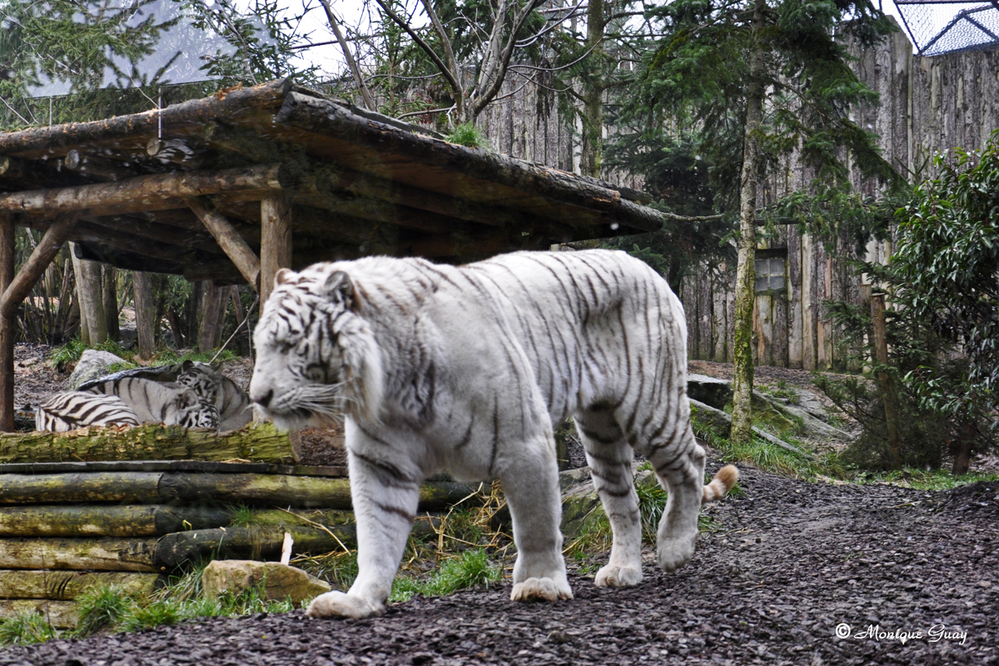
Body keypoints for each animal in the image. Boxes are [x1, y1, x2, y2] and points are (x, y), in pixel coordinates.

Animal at [247, 248, 740, 616]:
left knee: (690, 464)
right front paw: (358, 600)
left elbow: (536, 523)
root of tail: (650, 270)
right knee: (625, 501)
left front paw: (540, 583)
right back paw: (623, 571)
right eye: (260, 345)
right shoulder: (380, 463)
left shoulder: (524, 441)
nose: (258, 397)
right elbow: (376, 535)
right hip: (600, 432)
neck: (390, 384)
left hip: (649, 406)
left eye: (290, 345)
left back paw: (675, 547)